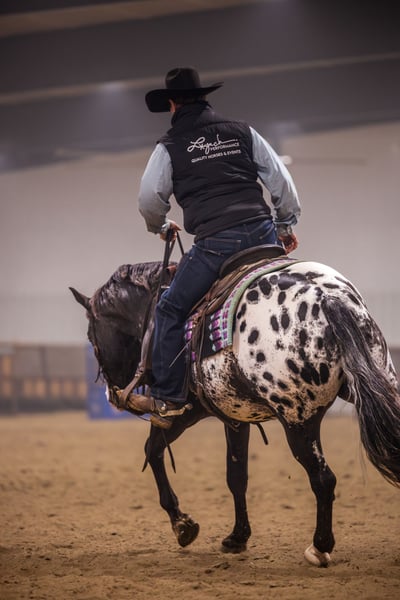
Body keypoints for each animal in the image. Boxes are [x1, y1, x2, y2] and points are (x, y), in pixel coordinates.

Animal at [70, 256, 400, 567]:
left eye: (91, 335)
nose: (113, 396)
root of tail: (328, 298)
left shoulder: (185, 411)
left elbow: (152, 450)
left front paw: (182, 525)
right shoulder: (237, 418)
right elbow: (236, 476)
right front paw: (237, 537)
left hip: (298, 421)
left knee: (323, 479)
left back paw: (320, 547)